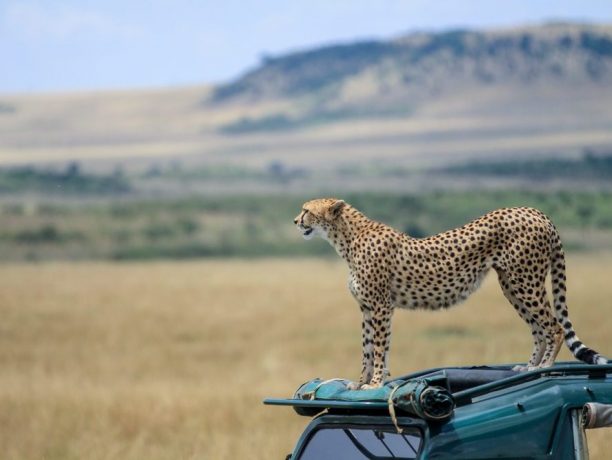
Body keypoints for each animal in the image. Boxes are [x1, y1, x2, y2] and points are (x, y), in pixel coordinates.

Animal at [296, 198, 608, 388]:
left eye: (307, 210)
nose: (296, 222)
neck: (347, 238)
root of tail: (533, 211)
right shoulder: (368, 308)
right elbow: (368, 347)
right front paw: (362, 382)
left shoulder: (381, 306)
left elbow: (380, 346)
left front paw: (374, 384)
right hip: (512, 285)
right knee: (538, 328)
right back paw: (529, 366)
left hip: (525, 280)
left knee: (553, 326)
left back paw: (542, 367)